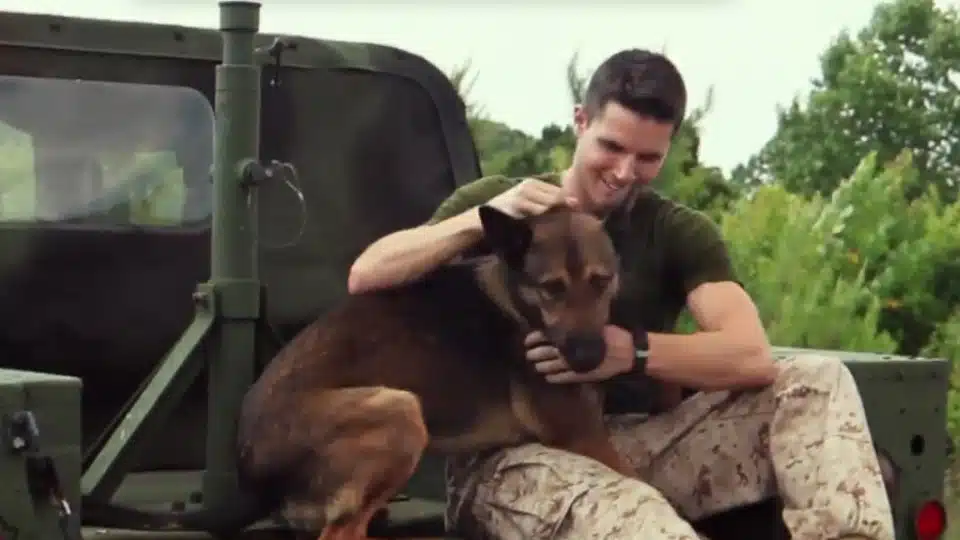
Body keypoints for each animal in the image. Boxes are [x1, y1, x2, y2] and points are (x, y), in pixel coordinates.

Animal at [116, 204, 632, 540]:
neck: (518, 300)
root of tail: (249, 475)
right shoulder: (586, 438)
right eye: (551, 289)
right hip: (400, 411)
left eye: (602, 282)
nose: (588, 357)